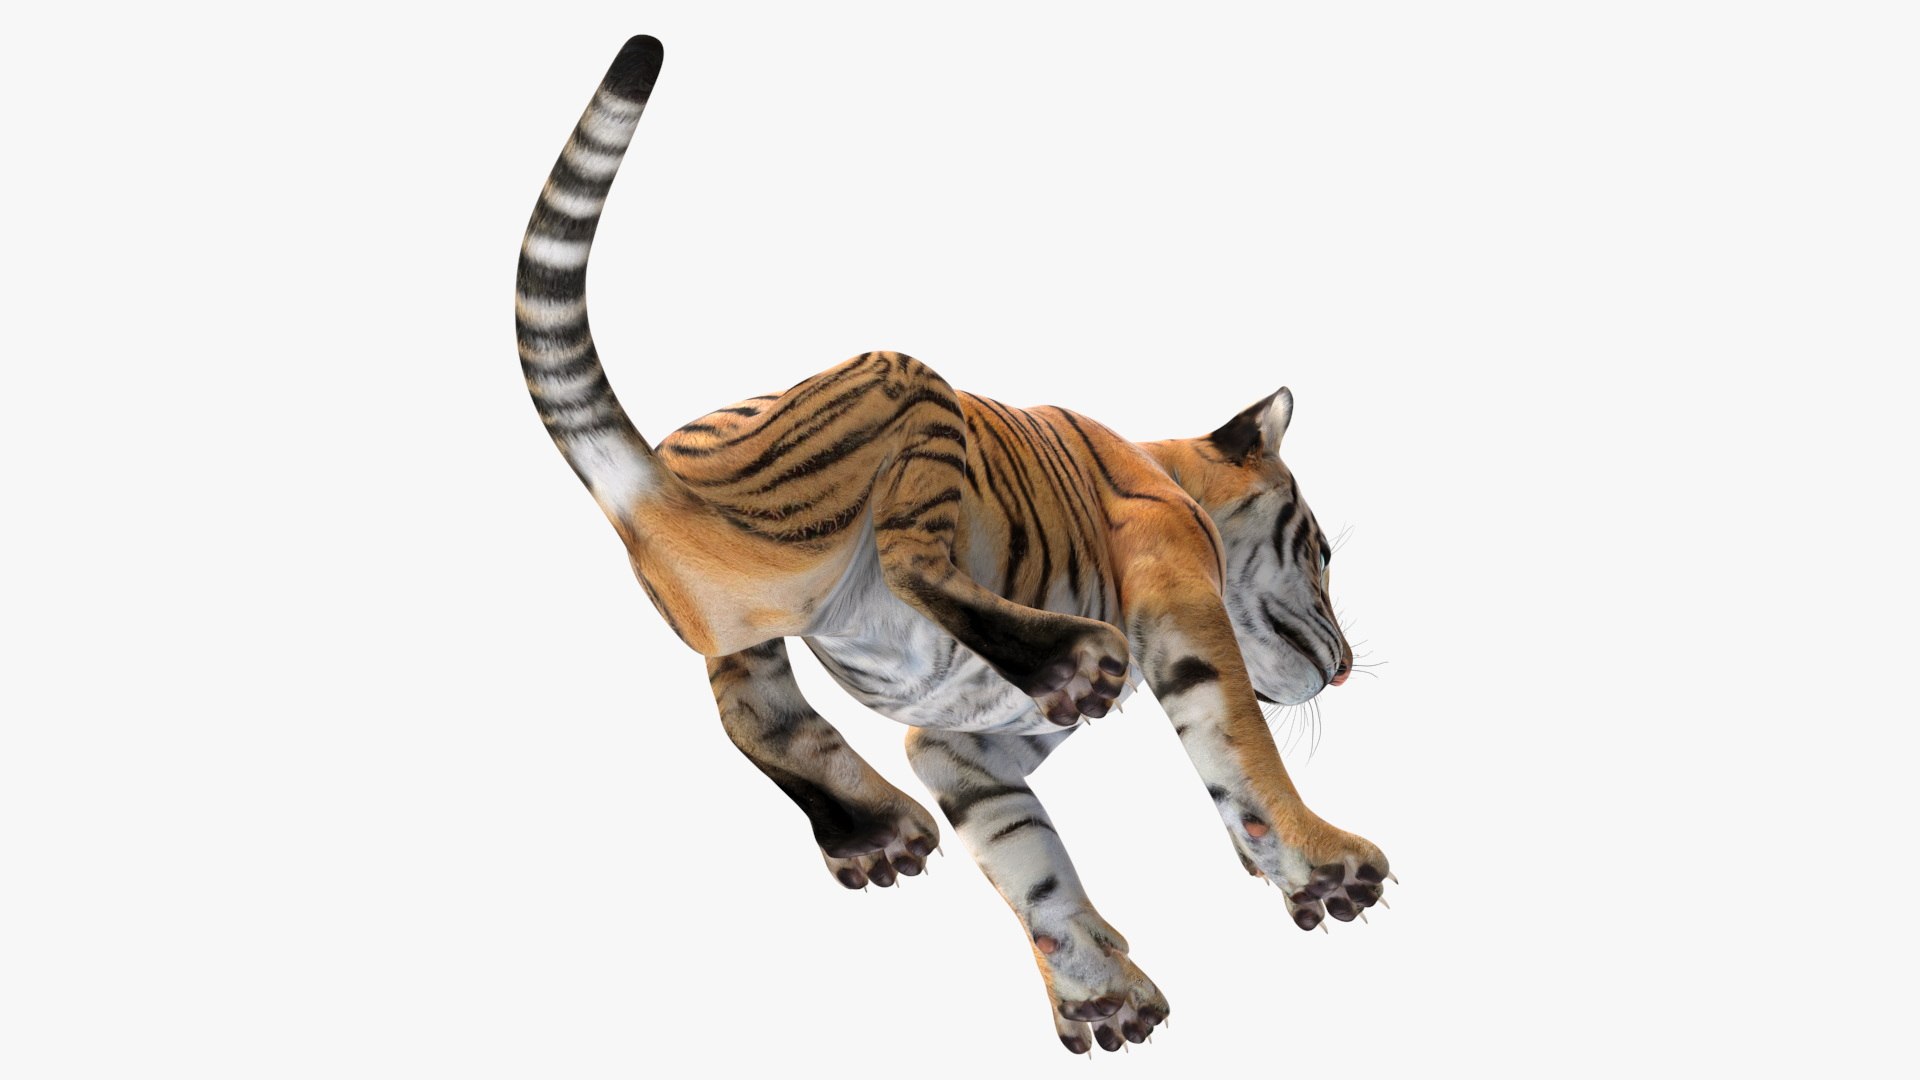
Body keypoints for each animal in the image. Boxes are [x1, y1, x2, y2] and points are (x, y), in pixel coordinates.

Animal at [516, 36, 1392, 1055]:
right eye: (1322, 552)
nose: (1346, 667)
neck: (1169, 466)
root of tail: (672, 481)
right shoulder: (1178, 594)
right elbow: (1240, 747)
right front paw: (1326, 867)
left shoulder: (963, 742)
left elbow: (1024, 857)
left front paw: (1098, 993)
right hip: (914, 396)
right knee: (906, 562)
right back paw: (1072, 664)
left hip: (739, 627)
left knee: (751, 711)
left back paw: (879, 833)